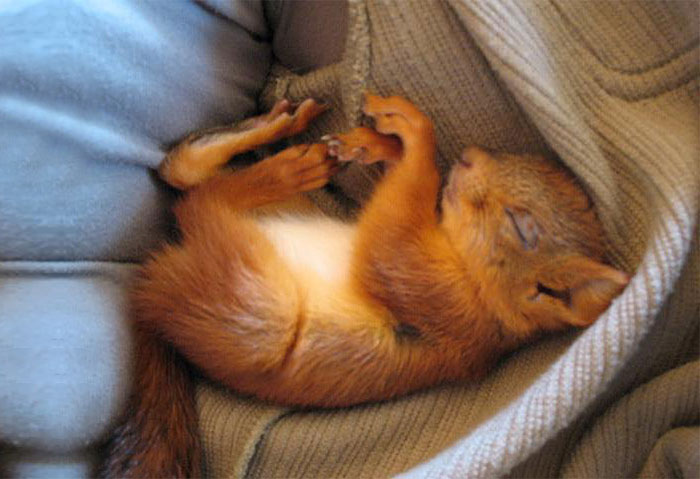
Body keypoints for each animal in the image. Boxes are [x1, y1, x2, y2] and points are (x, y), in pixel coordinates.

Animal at [99, 94, 629, 478]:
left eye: (522, 225)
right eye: (522, 156)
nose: (469, 156)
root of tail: (150, 292)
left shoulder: (444, 306)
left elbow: (392, 241)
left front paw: (412, 129)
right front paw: (379, 144)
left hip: (260, 309)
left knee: (200, 199)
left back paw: (290, 165)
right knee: (182, 171)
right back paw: (281, 127)